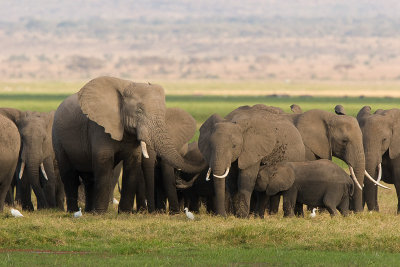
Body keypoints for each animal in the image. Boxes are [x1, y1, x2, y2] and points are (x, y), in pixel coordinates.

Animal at [52, 77, 205, 214]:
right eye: (139, 110)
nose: (152, 212)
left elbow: (132, 163)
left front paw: (124, 213)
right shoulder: (99, 127)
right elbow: (103, 161)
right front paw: (101, 214)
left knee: (88, 178)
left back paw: (89, 211)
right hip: (58, 139)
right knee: (69, 175)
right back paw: (74, 211)